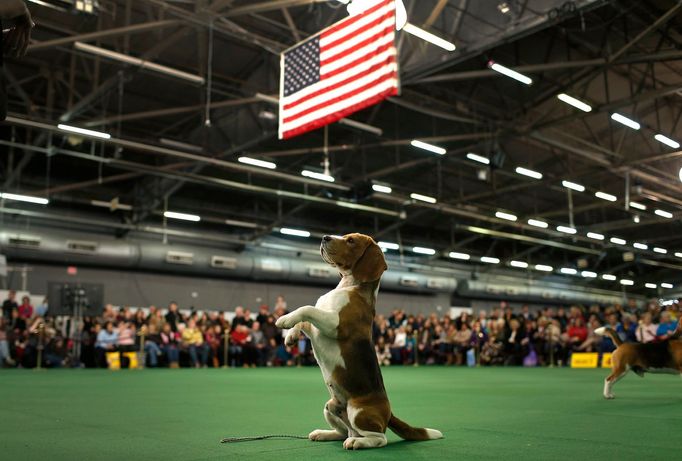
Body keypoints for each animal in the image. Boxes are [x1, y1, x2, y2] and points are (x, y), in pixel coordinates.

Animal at [274, 232, 440, 448]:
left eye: (351, 241)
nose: (325, 237)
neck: (350, 285)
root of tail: (389, 414)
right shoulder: (319, 326)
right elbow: (304, 321)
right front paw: (291, 335)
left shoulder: (335, 323)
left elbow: (307, 308)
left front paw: (285, 319)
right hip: (330, 406)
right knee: (343, 432)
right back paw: (324, 434)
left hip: (358, 412)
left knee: (378, 438)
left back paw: (357, 443)